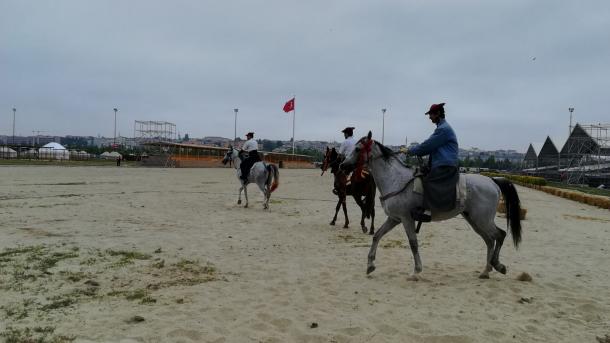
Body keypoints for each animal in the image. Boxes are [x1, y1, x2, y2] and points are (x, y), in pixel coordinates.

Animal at [340, 133, 520, 280]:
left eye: (357, 149)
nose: (342, 165)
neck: (395, 179)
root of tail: (492, 181)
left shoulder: (406, 218)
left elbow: (413, 243)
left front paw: (416, 271)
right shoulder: (394, 218)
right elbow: (377, 235)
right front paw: (370, 265)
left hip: (482, 220)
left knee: (500, 235)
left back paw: (497, 265)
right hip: (475, 221)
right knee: (490, 240)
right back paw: (486, 270)